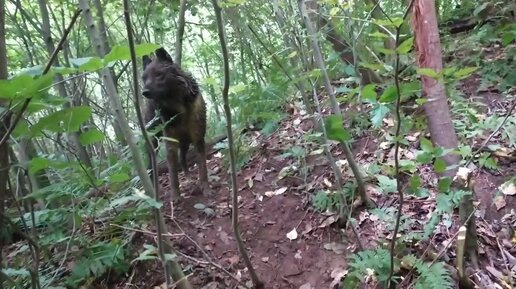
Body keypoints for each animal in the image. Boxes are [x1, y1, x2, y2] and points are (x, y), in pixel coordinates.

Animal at [141, 47, 210, 200]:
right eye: (143, 78)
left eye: (159, 74)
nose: (144, 92)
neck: (178, 109)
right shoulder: (170, 144)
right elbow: (172, 173)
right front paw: (175, 196)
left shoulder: (197, 137)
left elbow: (202, 165)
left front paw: (205, 186)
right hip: (154, 141)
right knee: (150, 165)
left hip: (185, 141)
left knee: (182, 158)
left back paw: (188, 175)